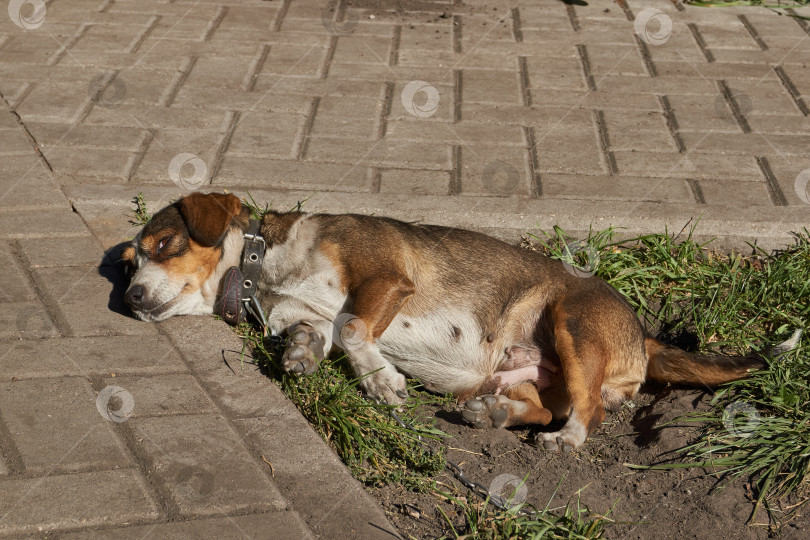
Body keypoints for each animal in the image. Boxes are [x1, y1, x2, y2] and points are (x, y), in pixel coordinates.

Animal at [123, 194, 780, 452]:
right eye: (129, 260)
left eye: (162, 244)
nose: (128, 295)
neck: (266, 271)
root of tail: (643, 334)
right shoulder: (306, 316)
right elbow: (318, 333)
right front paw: (300, 358)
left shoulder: (385, 280)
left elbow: (355, 328)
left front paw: (381, 382)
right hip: (518, 373)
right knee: (548, 404)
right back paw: (493, 415)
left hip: (570, 321)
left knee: (586, 412)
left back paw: (564, 441)